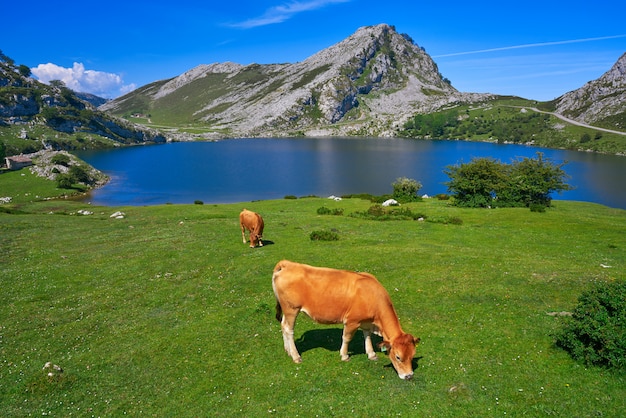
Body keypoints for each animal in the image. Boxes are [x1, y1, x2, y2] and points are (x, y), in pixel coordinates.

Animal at [272, 260, 420, 380]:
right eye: (398, 357)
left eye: (412, 355)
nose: (409, 376)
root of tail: (288, 264)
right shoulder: (352, 321)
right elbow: (347, 338)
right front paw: (344, 355)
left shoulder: (366, 321)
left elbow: (367, 336)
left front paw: (371, 354)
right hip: (291, 309)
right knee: (289, 330)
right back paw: (296, 356)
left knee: (283, 326)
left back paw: (287, 350)